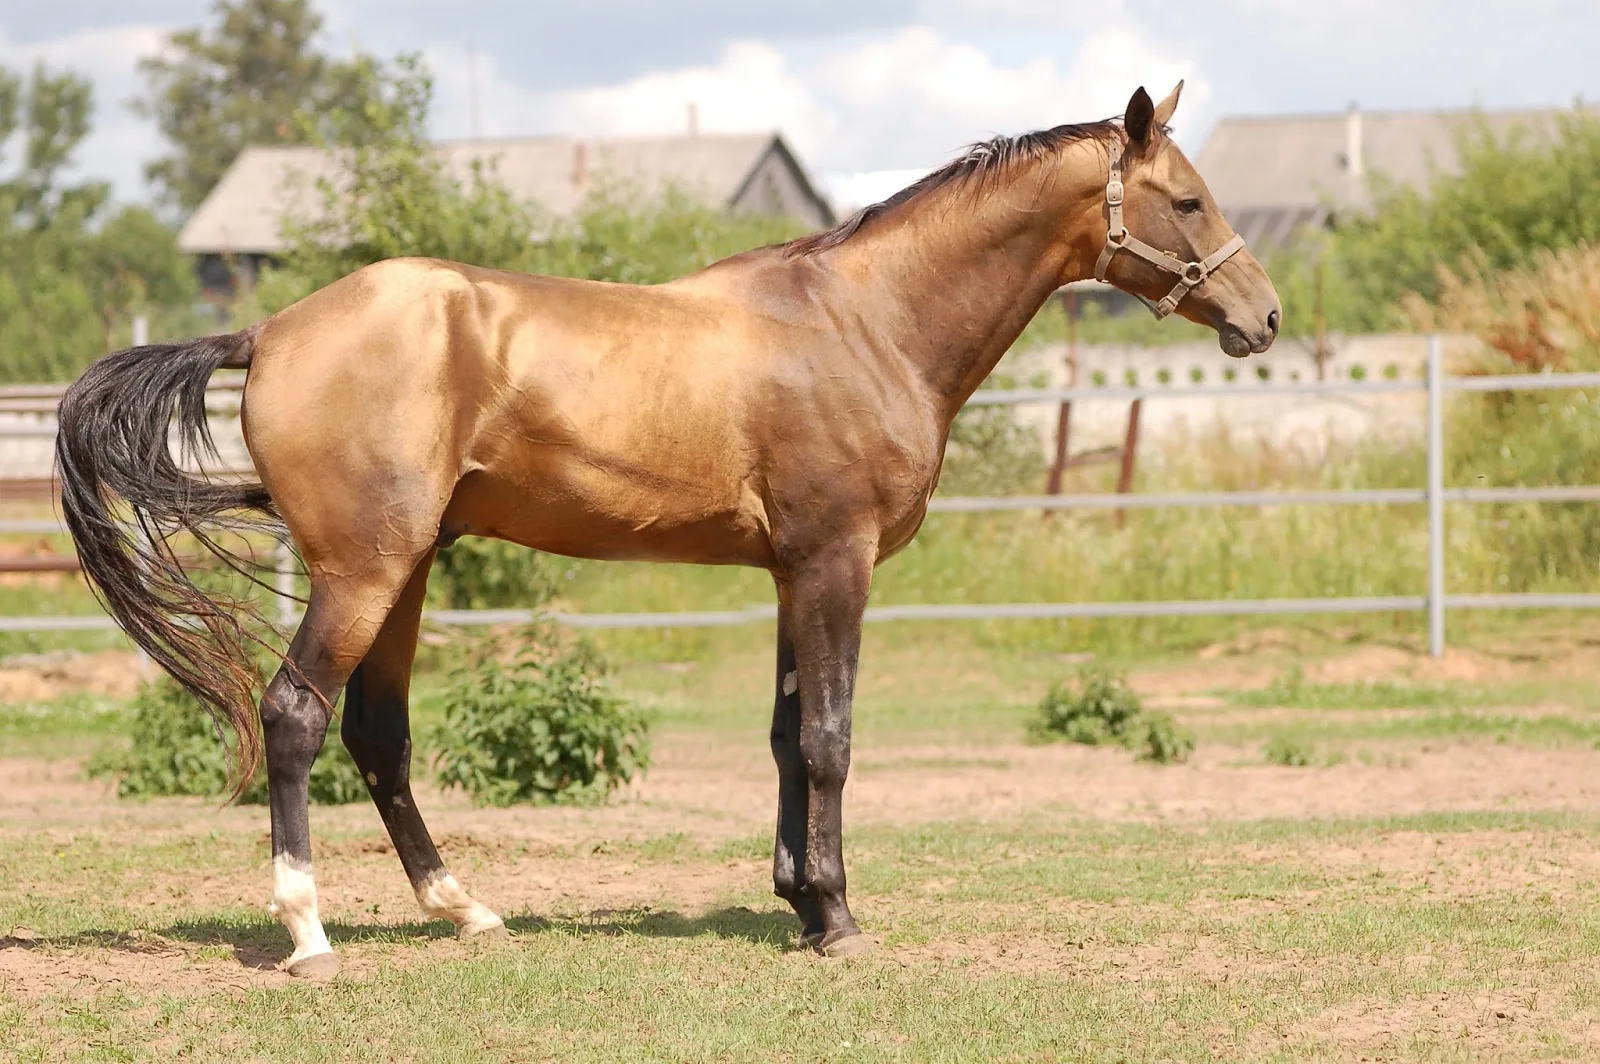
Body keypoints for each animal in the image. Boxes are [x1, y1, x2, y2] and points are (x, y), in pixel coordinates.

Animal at [54, 83, 1278, 978]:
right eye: (1185, 200)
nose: (1263, 316)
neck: (865, 320)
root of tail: (269, 329)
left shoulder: (791, 572)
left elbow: (786, 736)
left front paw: (800, 899)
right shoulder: (834, 565)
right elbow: (829, 738)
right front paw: (839, 920)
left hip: (404, 575)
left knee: (378, 736)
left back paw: (465, 909)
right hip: (364, 571)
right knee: (297, 715)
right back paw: (308, 931)